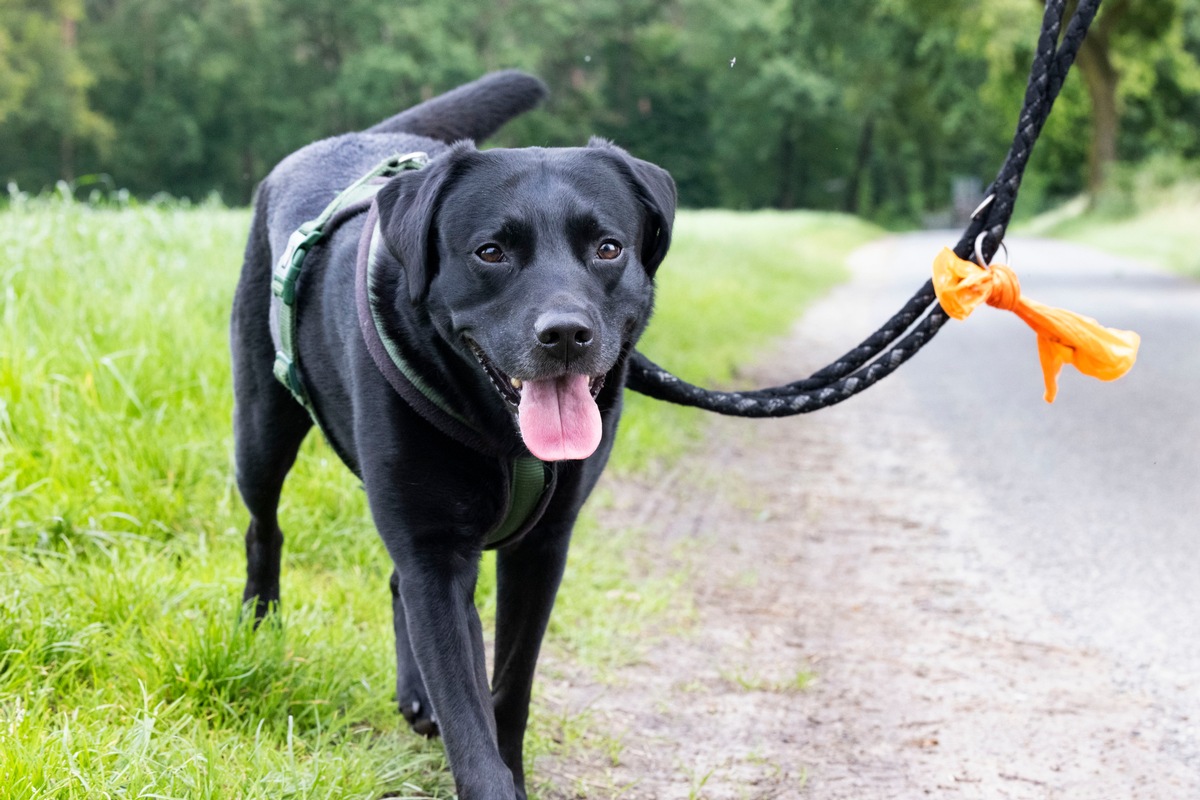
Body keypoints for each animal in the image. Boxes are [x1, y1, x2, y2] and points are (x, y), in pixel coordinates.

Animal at [226, 71, 676, 796]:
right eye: (491, 252)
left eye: (608, 247)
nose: (566, 335)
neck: (504, 438)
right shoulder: (436, 553)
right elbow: (469, 713)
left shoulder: (541, 549)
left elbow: (508, 690)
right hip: (261, 430)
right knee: (263, 528)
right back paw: (259, 625)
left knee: (394, 584)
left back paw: (414, 695)